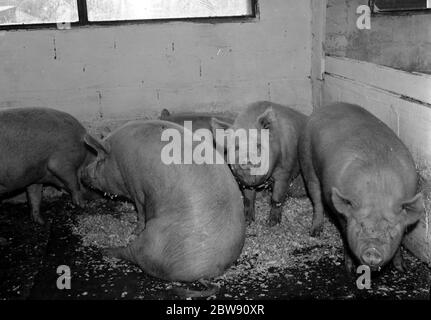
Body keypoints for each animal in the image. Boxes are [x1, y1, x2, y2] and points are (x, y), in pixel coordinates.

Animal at [82, 120, 246, 282]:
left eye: (99, 160)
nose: (82, 173)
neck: (118, 160)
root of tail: (202, 272)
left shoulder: (136, 187)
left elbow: (140, 212)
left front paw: (134, 230)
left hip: (152, 239)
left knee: (133, 252)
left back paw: (105, 250)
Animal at [300, 102, 426, 272]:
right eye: (360, 225)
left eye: (390, 229)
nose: (372, 251)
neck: (378, 191)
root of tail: (327, 106)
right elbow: (344, 233)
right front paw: (350, 269)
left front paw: (402, 268)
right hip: (306, 157)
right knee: (316, 196)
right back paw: (314, 232)